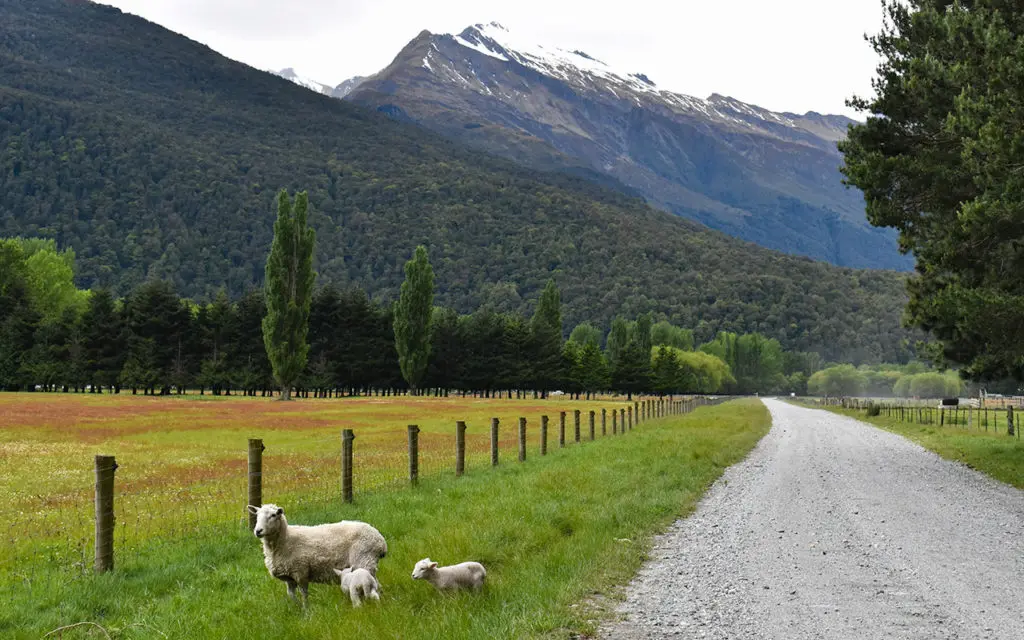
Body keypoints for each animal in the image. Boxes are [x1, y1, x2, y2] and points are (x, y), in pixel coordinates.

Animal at [250, 503, 387, 602]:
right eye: (257, 515)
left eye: (273, 515)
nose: (258, 531)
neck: (285, 540)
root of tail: (380, 540)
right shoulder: (289, 578)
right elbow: (291, 596)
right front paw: (296, 609)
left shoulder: (301, 572)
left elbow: (304, 595)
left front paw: (306, 612)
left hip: (364, 560)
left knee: (376, 586)